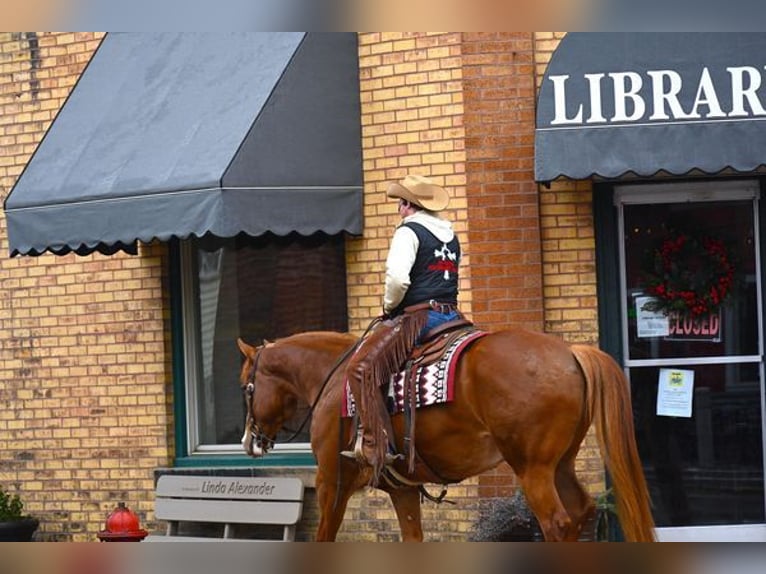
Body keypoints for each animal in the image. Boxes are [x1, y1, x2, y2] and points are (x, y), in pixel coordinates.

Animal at [237, 330, 656, 544]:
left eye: (246, 387)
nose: (250, 441)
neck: (333, 379)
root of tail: (569, 351)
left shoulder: (330, 482)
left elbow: (325, 535)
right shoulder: (403, 490)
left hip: (532, 468)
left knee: (557, 523)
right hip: (561, 465)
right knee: (582, 513)